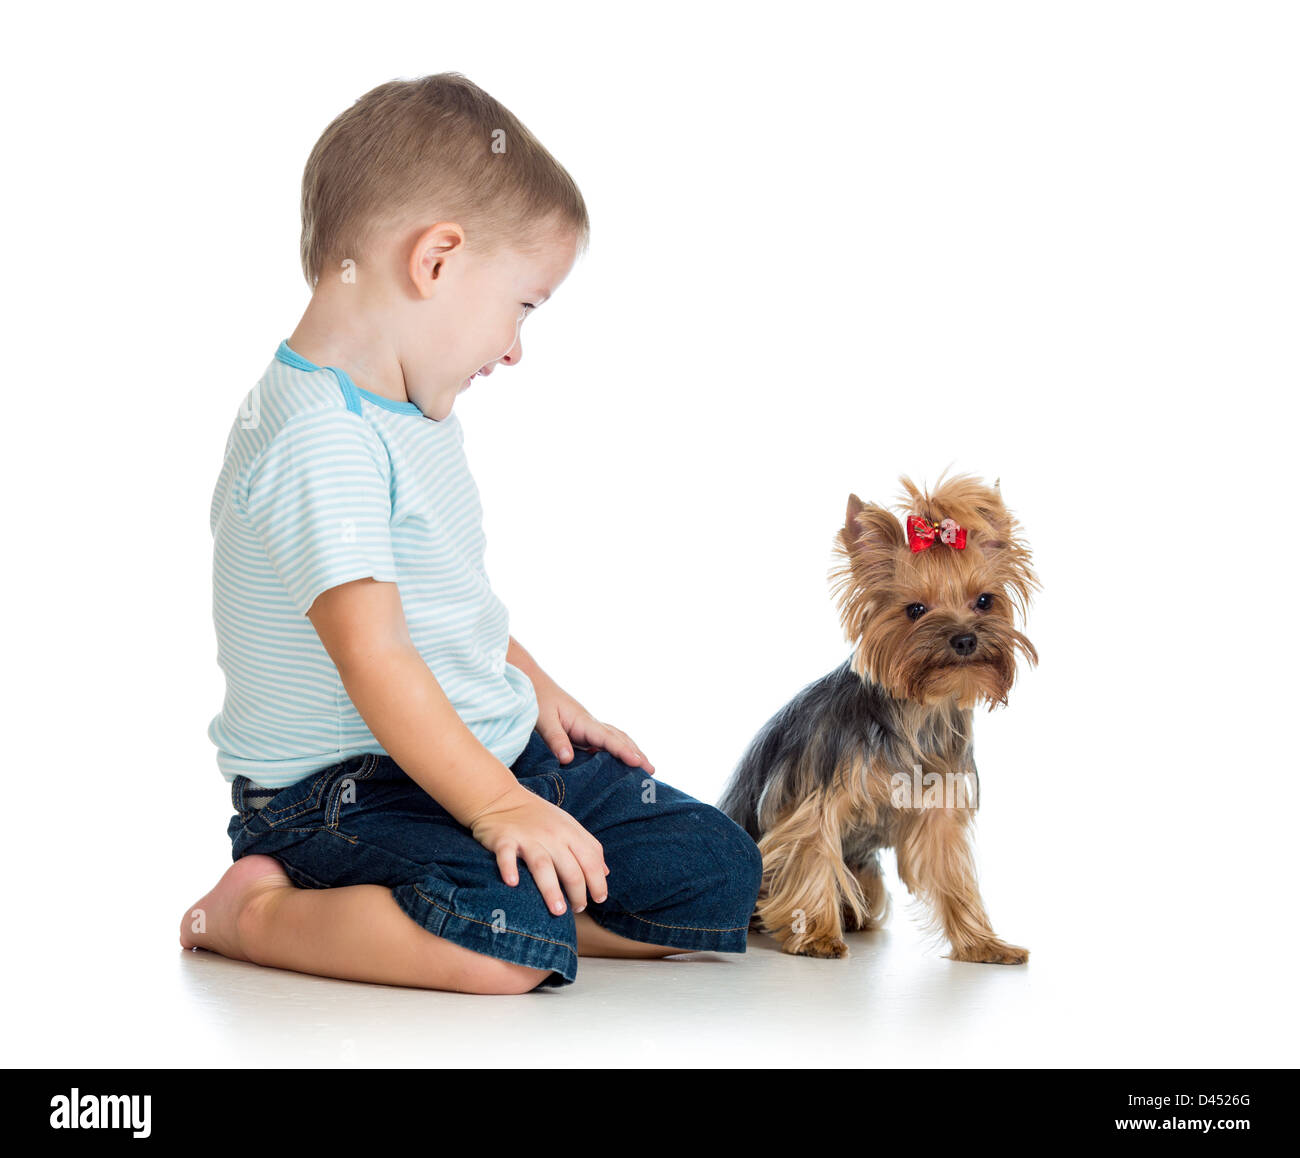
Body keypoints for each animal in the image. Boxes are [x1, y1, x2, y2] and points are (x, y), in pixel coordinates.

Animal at [722, 465, 1034, 966]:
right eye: (915, 610)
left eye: (985, 601)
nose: (965, 639)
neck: (917, 712)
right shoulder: (815, 798)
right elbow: (811, 850)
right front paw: (818, 936)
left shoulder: (939, 810)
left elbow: (955, 878)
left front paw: (983, 944)